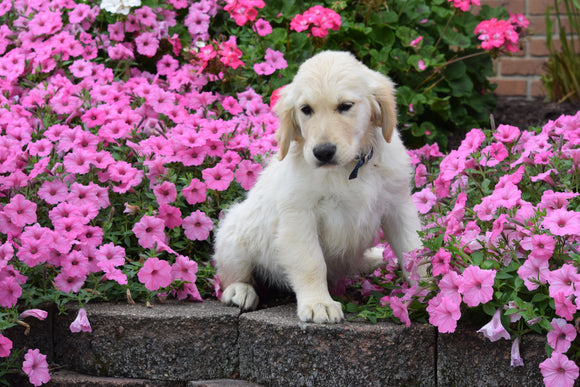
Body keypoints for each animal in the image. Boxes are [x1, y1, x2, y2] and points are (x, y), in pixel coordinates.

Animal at [213, 51, 422, 324]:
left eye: (345, 106)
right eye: (306, 110)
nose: (323, 152)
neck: (350, 169)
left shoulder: (399, 206)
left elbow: (413, 250)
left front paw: (430, 288)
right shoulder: (299, 216)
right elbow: (311, 262)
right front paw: (318, 303)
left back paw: (375, 257)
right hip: (234, 232)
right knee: (231, 273)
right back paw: (240, 290)